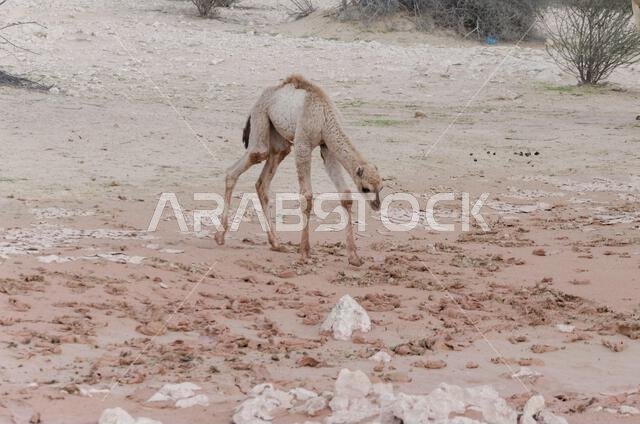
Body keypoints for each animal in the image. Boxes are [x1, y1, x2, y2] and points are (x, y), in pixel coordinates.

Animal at [214, 74, 383, 266]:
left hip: (280, 141)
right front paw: (304, 253)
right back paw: (219, 236)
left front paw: (354, 257)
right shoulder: (303, 144)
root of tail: (261, 97)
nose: (377, 205)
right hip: (261, 119)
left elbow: (345, 195)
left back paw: (276, 243)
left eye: (381, 187)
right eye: (365, 188)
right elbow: (307, 196)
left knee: (263, 180)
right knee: (246, 161)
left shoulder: (327, 147)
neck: (324, 116)